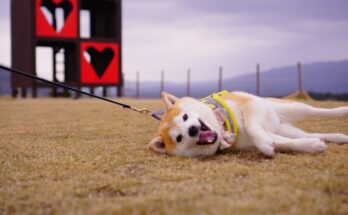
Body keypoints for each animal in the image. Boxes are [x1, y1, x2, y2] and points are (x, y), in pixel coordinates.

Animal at [148, 90, 348, 157]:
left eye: (184, 117)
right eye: (179, 138)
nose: (192, 129)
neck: (224, 128)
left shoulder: (250, 105)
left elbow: (252, 127)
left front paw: (265, 146)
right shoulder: (269, 136)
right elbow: (285, 143)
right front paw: (312, 146)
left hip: (290, 107)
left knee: (316, 111)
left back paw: (342, 111)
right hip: (286, 128)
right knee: (308, 134)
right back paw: (338, 137)